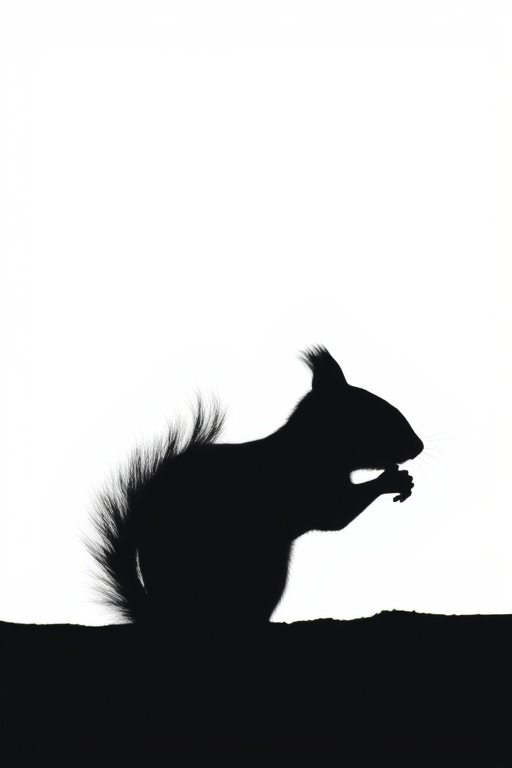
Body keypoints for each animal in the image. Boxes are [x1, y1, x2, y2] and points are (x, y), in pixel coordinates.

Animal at [86, 345, 423, 631]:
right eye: (376, 415)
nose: (418, 446)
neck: (312, 448)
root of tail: (163, 614)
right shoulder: (309, 489)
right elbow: (336, 515)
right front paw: (391, 481)